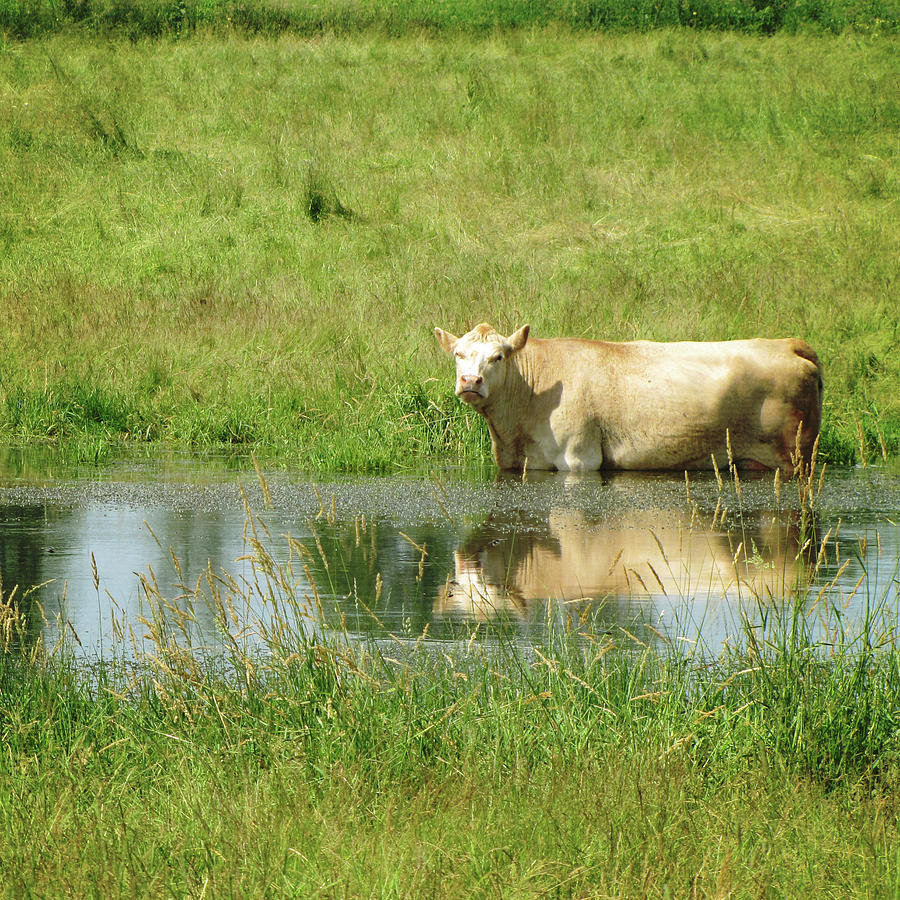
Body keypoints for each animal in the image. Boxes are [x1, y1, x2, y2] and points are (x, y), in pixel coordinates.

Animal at [434, 323, 823, 474]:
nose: (470, 381)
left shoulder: (579, 458)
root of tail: (788, 343)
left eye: (498, 356)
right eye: (458, 354)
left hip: (795, 456)